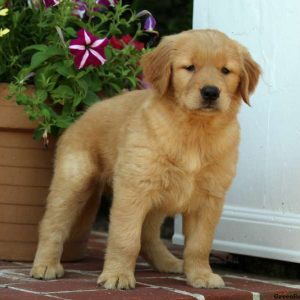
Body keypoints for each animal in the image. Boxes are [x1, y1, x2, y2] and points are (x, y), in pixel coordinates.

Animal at [30, 29, 260, 290]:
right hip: (73, 181)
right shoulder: (134, 189)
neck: (194, 131)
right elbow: (126, 238)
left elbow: (199, 244)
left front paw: (201, 275)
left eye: (225, 71)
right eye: (189, 67)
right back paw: (45, 265)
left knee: (148, 235)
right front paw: (118, 275)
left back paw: (168, 262)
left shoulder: (209, 198)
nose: (211, 92)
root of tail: (84, 113)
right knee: (52, 225)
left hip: (158, 199)